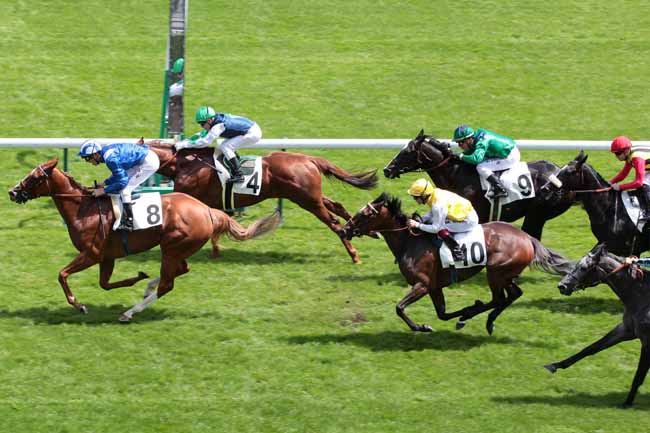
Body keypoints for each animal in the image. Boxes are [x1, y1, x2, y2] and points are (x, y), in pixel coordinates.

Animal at [8, 158, 280, 320]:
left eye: (34, 177)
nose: (12, 192)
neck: (83, 209)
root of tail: (207, 210)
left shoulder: (91, 254)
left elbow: (62, 275)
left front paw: (79, 304)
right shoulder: (106, 256)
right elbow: (105, 284)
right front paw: (137, 278)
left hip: (173, 247)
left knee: (168, 283)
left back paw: (130, 312)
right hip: (176, 248)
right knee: (180, 270)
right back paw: (147, 287)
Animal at [147, 142, 378, 264]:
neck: (184, 165)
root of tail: (309, 159)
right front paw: (215, 253)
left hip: (307, 200)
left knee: (333, 222)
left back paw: (354, 254)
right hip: (311, 196)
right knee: (337, 206)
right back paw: (369, 230)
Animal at [336, 194, 568, 332]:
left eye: (365, 214)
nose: (344, 230)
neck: (410, 241)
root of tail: (527, 238)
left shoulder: (422, 285)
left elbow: (399, 308)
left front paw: (421, 327)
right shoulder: (434, 287)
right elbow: (442, 314)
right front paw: (459, 314)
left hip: (495, 272)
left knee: (499, 298)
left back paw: (476, 315)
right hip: (505, 274)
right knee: (513, 294)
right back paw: (486, 320)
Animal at [544, 245, 648, 406]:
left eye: (584, 267)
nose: (562, 286)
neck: (642, 296)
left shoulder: (647, 341)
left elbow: (638, 376)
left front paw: (627, 403)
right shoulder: (626, 329)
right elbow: (591, 348)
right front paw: (555, 365)